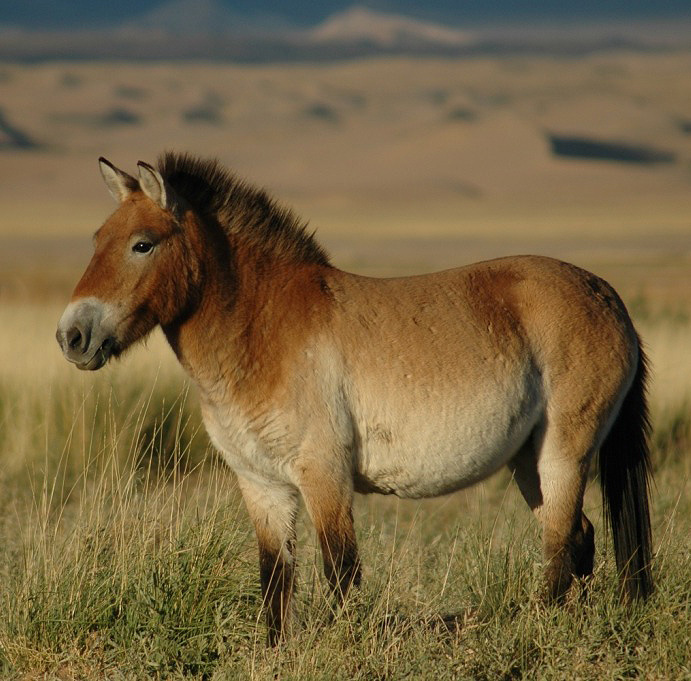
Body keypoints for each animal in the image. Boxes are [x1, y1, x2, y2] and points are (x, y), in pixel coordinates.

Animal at [56, 152, 653, 644]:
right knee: (578, 537)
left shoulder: (324, 474)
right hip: (528, 460)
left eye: (142, 244)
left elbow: (340, 572)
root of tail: (606, 295)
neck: (263, 331)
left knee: (561, 546)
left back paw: (541, 631)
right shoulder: (261, 484)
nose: (72, 337)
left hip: (563, 453)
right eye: (95, 239)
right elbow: (275, 579)